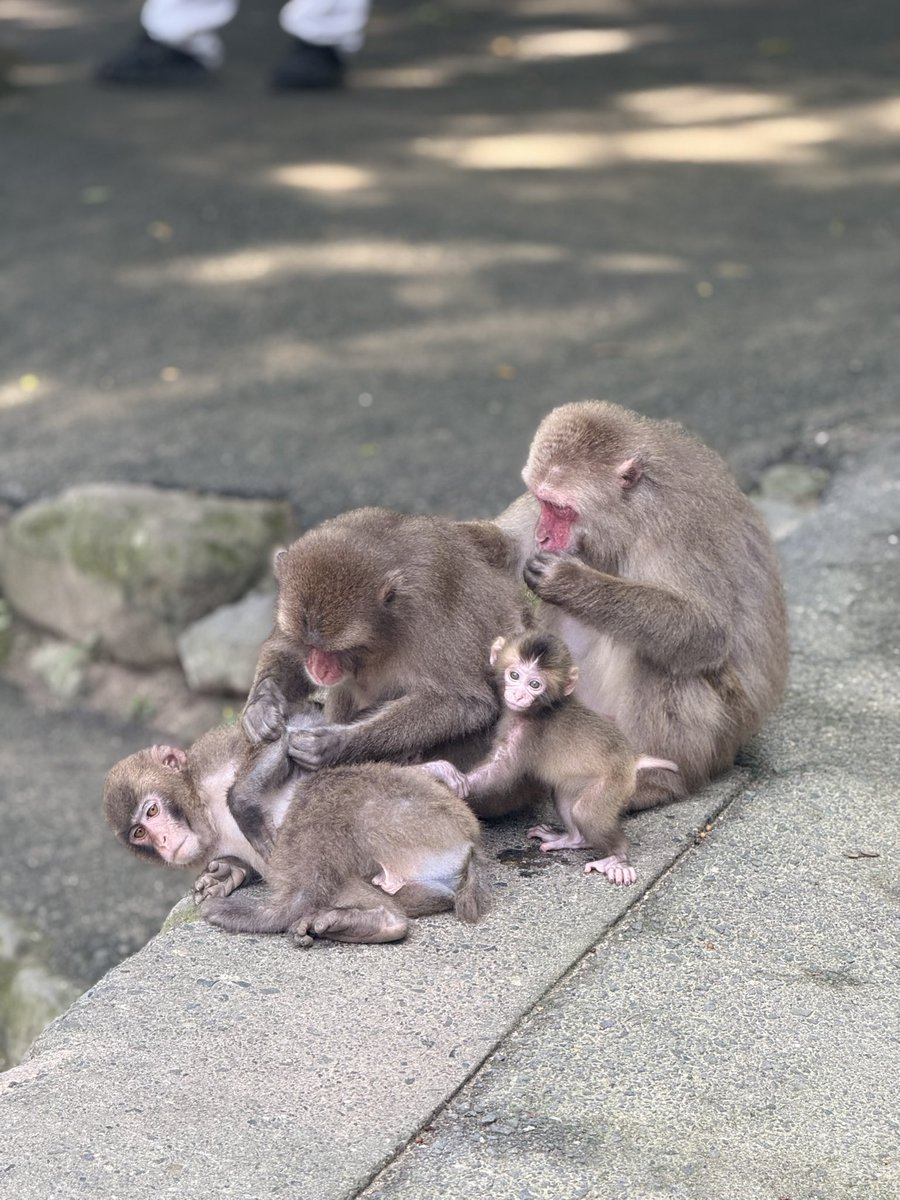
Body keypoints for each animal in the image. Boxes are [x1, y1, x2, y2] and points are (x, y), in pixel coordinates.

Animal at [197, 762, 491, 946]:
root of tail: (469, 848)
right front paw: (226, 873)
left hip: (420, 826)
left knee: (326, 795)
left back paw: (276, 913)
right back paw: (381, 922)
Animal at [233, 506, 536, 840]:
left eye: (336, 650)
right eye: (309, 644)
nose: (317, 667)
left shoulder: (431, 610)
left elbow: (466, 703)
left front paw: (336, 743)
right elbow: (284, 650)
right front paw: (262, 705)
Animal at [440, 632, 677, 885]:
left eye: (534, 684)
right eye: (514, 675)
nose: (518, 694)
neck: (538, 709)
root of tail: (632, 758)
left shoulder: (528, 733)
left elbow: (500, 772)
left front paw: (450, 780)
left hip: (615, 782)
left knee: (586, 812)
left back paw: (618, 858)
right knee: (564, 797)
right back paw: (573, 839)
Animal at [495, 401, 788, 812]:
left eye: (561, 509)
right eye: (541, 501)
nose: (543, 535)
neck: (629, 516)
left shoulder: (678, 527)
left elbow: (707, 630)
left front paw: (569, 581)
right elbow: (498, 543)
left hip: (722, 736)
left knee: (666, 662)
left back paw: (654, 784)